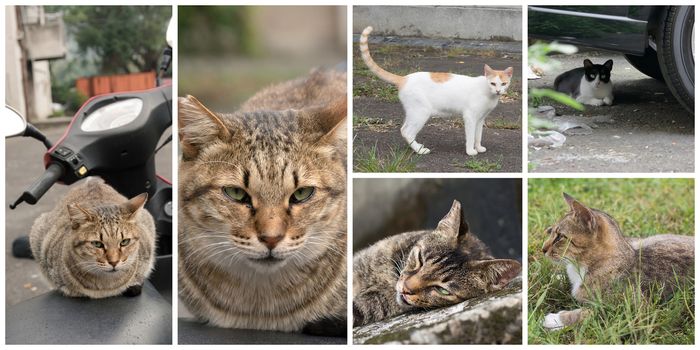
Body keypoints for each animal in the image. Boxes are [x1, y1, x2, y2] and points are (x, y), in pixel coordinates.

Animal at [540, 193, 696, 330]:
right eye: (551, 231)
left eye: (560, 237)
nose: (543, 249)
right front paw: (557, 278)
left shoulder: (637, 310)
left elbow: (592, 312)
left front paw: (556, 319)